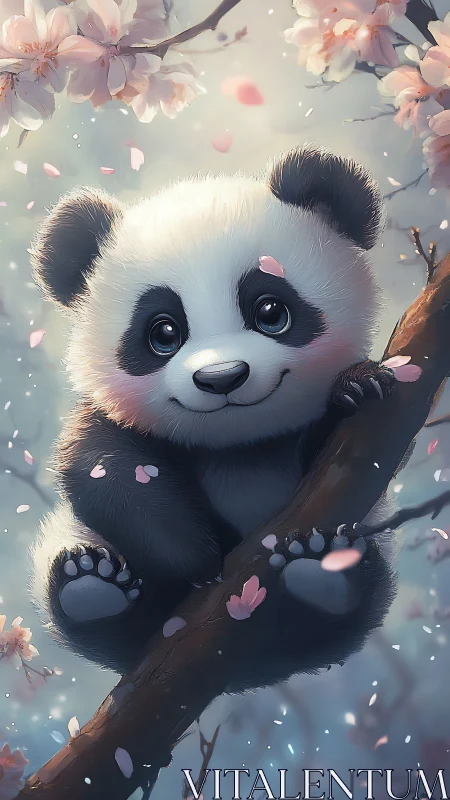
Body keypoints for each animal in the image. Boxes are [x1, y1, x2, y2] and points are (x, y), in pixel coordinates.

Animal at [30, 145, 397, 692]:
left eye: (271, 311)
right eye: (164, 332)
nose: (222, 377)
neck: (238, 445)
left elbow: (344, 466)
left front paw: (357, 387)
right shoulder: (111, 423)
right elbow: (102, 468)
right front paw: (197, 559)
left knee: (340, 614)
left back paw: (322, 575)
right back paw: (93, 587)